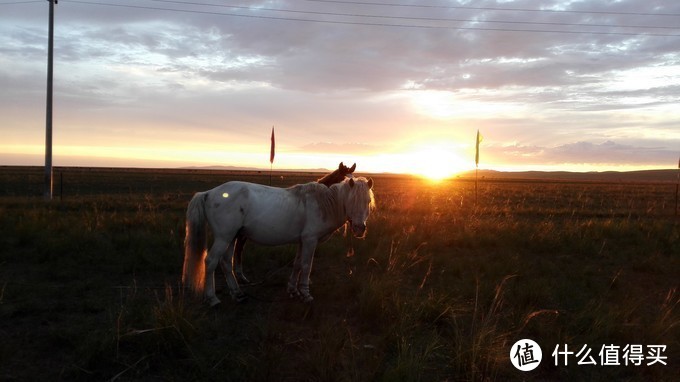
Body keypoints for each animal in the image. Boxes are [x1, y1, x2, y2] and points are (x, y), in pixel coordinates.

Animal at [183, 178, 374, 306]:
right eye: (352, 200)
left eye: (368, 201)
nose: (359, 228)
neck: (323, 204)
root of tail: (208, 193)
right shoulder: (310, 240)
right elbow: (306, 266)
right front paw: (305, 294)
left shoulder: (302, 241)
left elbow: (297, 265)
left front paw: (292, 290)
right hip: (224, 237)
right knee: (211, 261)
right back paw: (212, 298)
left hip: (231, 237)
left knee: (225, 263)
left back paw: (238, 294)